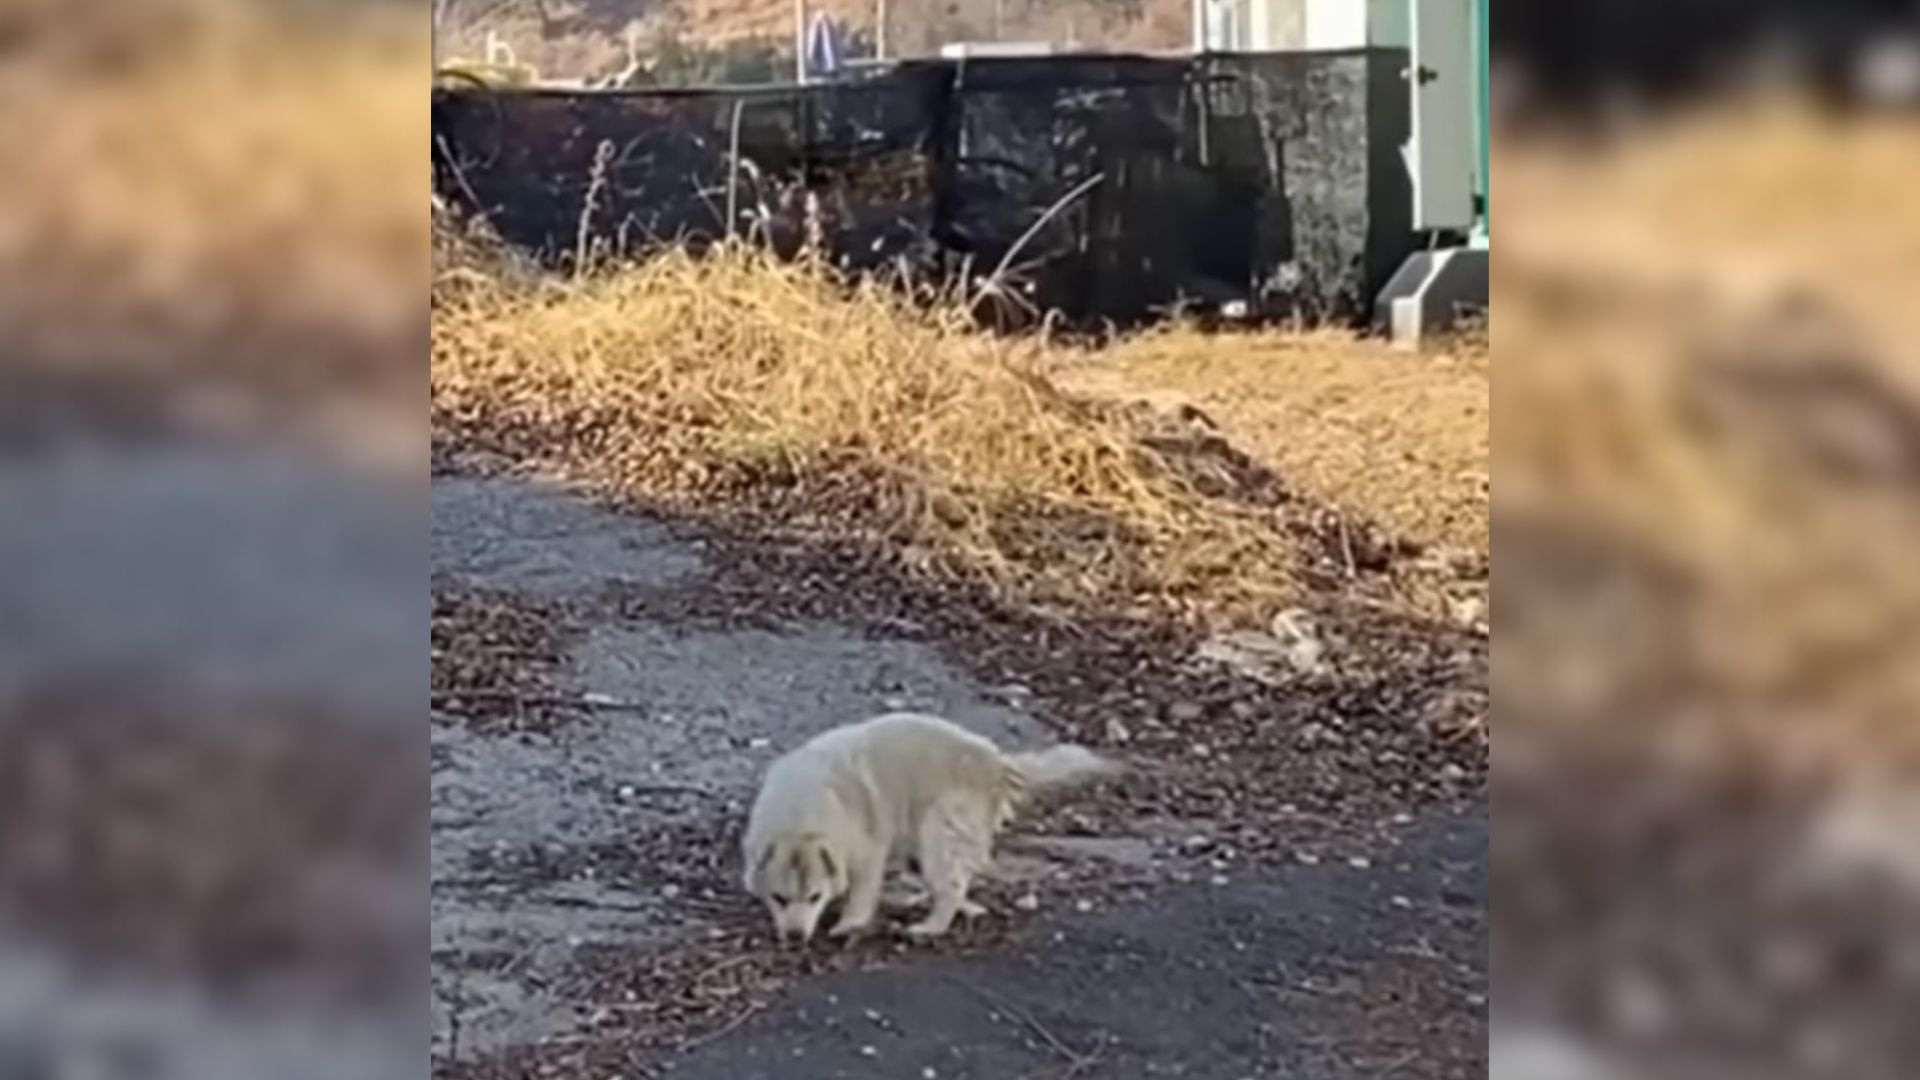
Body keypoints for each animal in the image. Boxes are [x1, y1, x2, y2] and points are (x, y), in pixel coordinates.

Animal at [741, 711, 1121, 937]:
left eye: (814, 896)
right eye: (779, 898)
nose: (795, 936)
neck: (800, 817)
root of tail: (996, 762)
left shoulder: (867, 849)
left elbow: (863, 889)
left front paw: (849, 924)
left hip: (941, 828)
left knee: (950, 882)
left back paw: (931, 926)